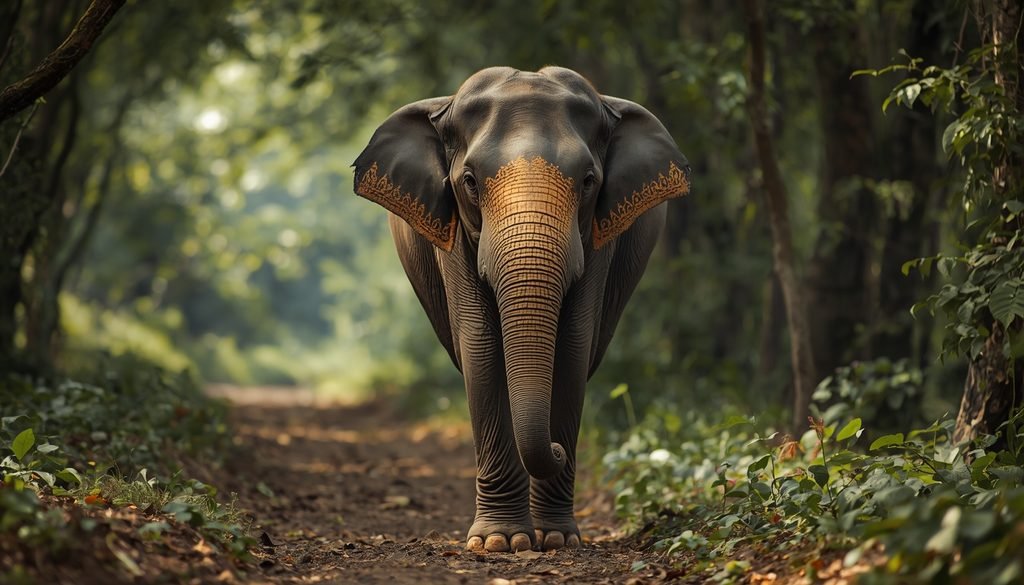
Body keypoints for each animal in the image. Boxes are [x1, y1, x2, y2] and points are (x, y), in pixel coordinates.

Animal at [352, 66, 690, 553]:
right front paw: (499, 543)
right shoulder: (453, 236)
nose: (558, 450)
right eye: (470, 182)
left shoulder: (597, 237)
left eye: (588, 181)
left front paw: (556, 539)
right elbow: (480, 344)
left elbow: (572, 346)